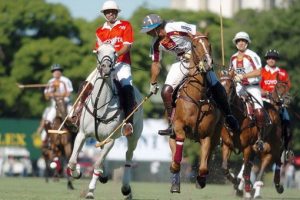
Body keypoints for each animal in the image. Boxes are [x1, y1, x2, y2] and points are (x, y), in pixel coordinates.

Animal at [66, 42, 144, 200]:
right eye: (98, 51)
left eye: (114, 52)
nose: (106, 67)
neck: (100, 105)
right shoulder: (82, 134)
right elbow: (72, 161)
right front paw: (77, 172)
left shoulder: (110, 140)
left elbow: (96, 164)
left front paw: (90, 191)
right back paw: (104, 175)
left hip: (134, 136)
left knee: (128, 156)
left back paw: (126, 189)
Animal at [169, 33, 223, 191]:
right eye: (194, 45)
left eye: (209, 45)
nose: (207, 62)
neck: (197, 96)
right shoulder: (178, 125)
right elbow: (178, 151)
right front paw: (174, 167)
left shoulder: (206, 135)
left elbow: (204, 167)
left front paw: (201, 180)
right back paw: (175, 183)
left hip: (216, 134)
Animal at [219, 70, 284, 198]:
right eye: (219, 84)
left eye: (231, 86)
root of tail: (273, 108)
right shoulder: (227, 145)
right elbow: (225, 169)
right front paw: (237, 183)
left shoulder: (248, 147)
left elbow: (246, 172)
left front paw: (246, 189)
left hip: (272, 144)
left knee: (276, 160)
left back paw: (277, 186)